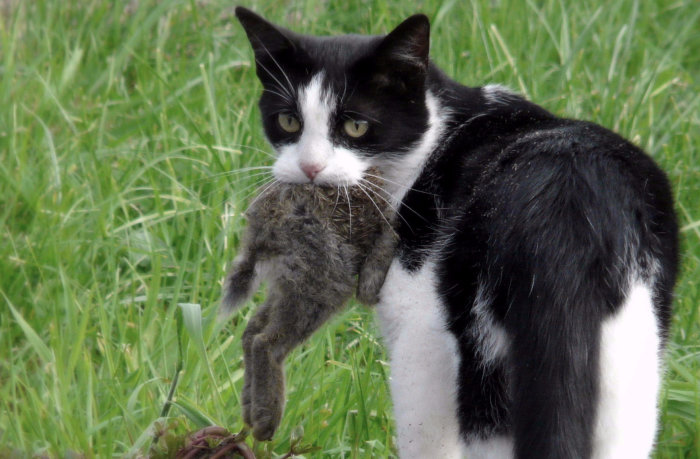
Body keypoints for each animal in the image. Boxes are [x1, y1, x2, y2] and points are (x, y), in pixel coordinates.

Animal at [234, 7, 680, 459]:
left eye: (356, 127)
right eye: (288, 121)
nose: (309, 168)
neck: (435, 138)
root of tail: (568, 197)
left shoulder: (418, 328)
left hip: (482, 358)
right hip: (630, 358)